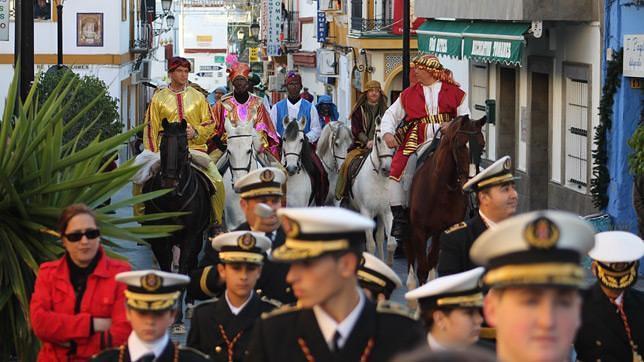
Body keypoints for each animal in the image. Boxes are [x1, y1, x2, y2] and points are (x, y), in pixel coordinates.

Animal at [141, 120, 211, 330]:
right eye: (163, 145)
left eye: (183, 147)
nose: (169, 183)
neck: (174, 199)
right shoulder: (160, 238)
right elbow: (166, 268)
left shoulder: (191, 236)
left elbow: (183, 268)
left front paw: (178, 320)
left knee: (192, 264)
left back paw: (189, 305)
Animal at [348, 117, 398, 264]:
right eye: (379, 139)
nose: (387, 169)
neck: (378, 178)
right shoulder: (366, 212)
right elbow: (370, 245)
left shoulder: (387, 212)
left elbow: (391, 243)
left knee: (380, 238)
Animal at [408, 115, 488, 286]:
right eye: (460, 145)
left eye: (482, 145)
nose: (472, 184)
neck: (440, 190)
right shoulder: (419, 231)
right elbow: (422, 270)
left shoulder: (444, 231)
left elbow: (434, 263)